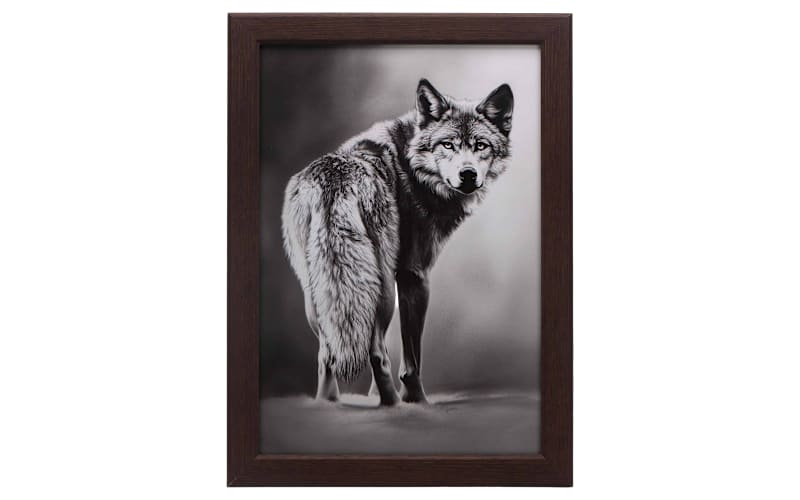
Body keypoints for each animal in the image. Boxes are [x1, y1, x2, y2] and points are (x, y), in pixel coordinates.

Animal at [281, 79, 514, 406]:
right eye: (448, 145)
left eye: (481, 146)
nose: (467, 175)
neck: (412, 166)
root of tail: (335, 181)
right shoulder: (414, 276)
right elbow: (412, 355)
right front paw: (417, 401)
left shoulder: (395, 277)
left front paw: (373, 396)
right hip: (381, 295)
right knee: (376, 354)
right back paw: (391, 405)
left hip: (318, 297)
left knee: (327, 356)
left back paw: (329, 404)